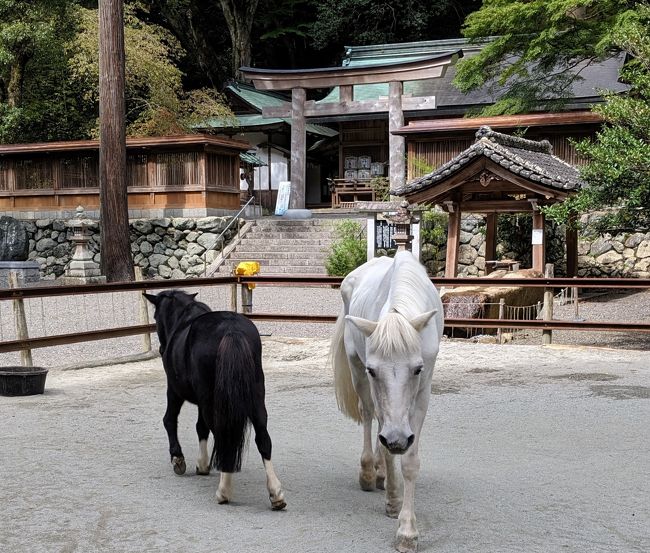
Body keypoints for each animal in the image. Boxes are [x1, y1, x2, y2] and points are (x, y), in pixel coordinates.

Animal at [144, 288, 286, 508]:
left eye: (155, 316)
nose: (161, 349)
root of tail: (231, 331)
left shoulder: (175, 391)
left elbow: (170, 420)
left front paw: (179, 459)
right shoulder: (203, 402)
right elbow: (200, 427)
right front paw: (202, 463)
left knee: (222, 435)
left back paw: (223, 491)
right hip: (255, 398)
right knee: (263, 438)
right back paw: (275, 493)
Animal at [332, 250, 442, 552]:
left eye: (417, 369)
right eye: (373, 370)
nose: (397, 439)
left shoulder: (422, 395)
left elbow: (409, 461)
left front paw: (407, 531)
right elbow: (387, 442)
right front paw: (394, 504)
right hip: (357, 373)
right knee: (369, 416)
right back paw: (370, 473)